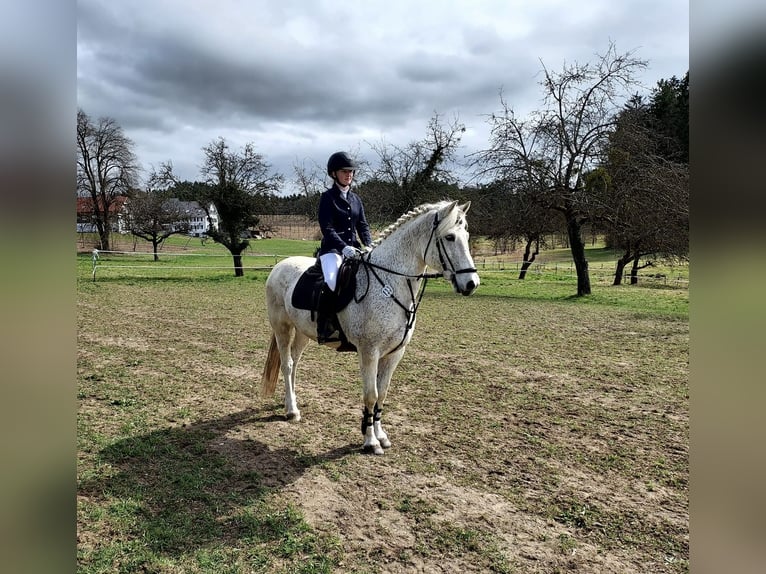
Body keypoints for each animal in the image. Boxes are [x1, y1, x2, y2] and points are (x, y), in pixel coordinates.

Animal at [260, 200, 480, 454]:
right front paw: (370, 441)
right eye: (450, 237)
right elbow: (371, 395)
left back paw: (291, 401)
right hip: (282, 328)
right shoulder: (369, 351)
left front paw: (381, 435)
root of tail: (279, 266)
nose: (472, 284)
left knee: (295, 363)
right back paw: (292, 411)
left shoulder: (394, 354)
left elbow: (382, 394)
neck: (390, 283)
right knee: (287, 365)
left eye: (467, 235)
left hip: (304, 332)